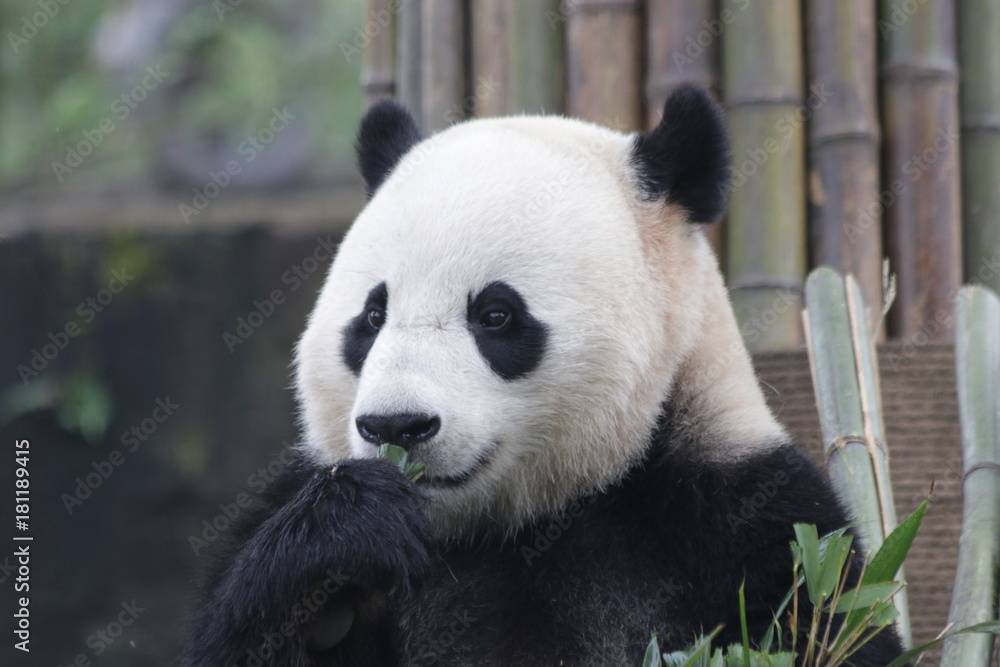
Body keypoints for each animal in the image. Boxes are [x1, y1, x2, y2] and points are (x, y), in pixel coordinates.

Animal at [185, 85, 906, 666]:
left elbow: (834, 628)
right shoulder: (295, 499)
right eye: (371, 316)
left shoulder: (757, 529)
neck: (513, 524)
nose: (397, 425)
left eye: (496, 314)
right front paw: (340, 563)